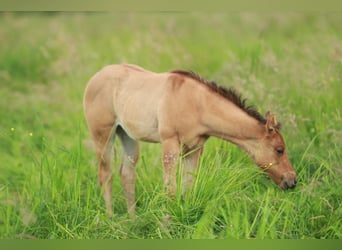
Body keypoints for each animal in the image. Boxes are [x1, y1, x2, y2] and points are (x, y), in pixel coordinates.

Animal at [83, 64, 296, 217]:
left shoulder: (194, 149)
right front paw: (166, 225)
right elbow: (170, 189)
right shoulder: (170, 144)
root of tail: (95, 77)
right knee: (105, 174)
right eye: (279, 149)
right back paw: (111, 220)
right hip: (103, 135)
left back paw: (133, 221)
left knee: (127, 173)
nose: (292, 181)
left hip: (127, 136)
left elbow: (187, 187)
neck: (197, 103)